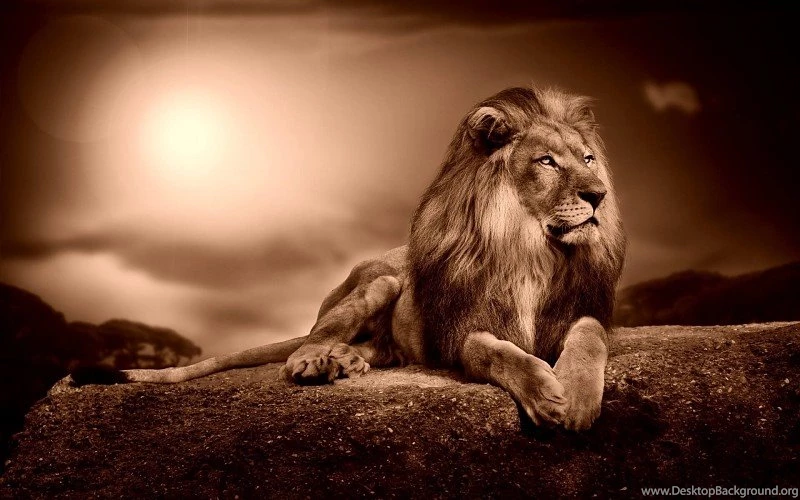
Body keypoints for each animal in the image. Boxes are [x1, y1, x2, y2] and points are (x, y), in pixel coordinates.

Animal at [72, 86, 626, 431]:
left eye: (589, 159)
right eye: (547, 161)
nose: (599, 195)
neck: (531, 248)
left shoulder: (581, 310)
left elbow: (589, 336)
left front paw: (576, 395)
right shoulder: (459, 332)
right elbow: (498, 352)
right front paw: (545, 392)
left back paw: (348, 361)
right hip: (380, 282)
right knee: (310, 339)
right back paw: (317, 362)